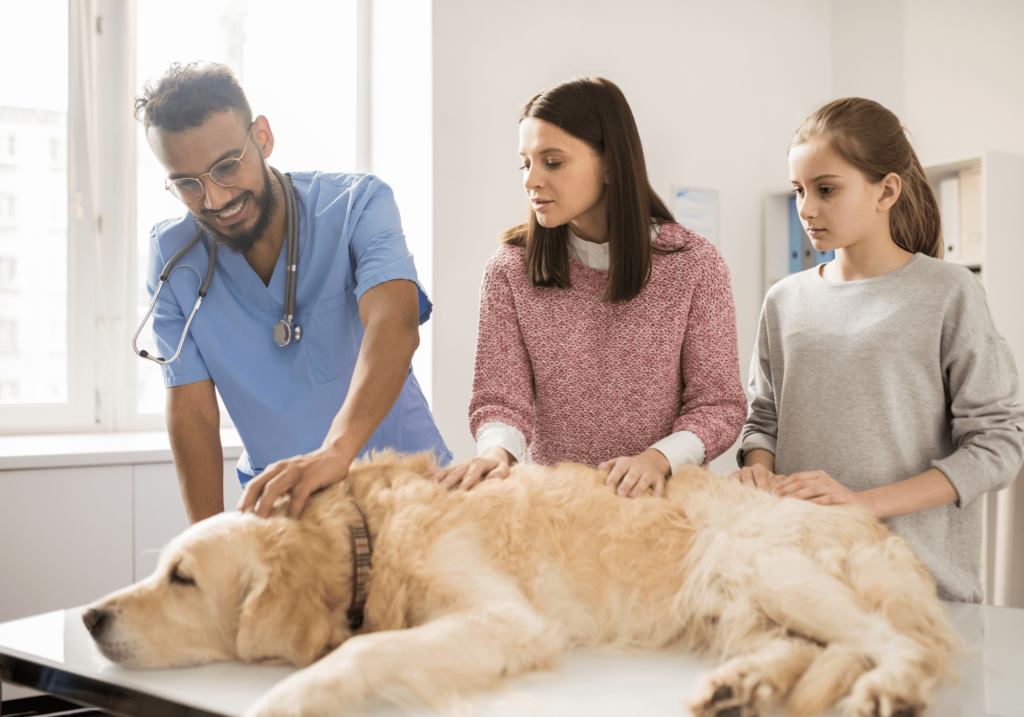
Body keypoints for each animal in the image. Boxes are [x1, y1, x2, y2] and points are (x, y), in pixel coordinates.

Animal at [86, 452, 958, 717]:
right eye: (159, 565)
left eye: (182, 577)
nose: (91, 615)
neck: (366, 539)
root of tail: (875, 527)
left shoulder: (506, 621)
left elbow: (361, 653)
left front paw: (290, 695)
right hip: (738, 600)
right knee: (808, 649)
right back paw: (741, 685)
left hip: (773, 569)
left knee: (892, 643)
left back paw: (888, 687)